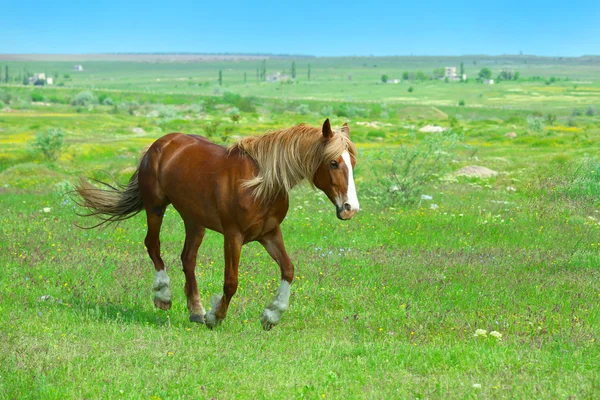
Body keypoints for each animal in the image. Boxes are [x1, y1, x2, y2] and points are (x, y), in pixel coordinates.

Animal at [72, 119, 358, 332]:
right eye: (333, 162)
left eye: (352, 163)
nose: (350, 209)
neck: (260, 185)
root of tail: (160, 143)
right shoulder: (233, 236)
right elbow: (231, 282)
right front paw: (215, 316)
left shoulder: (269, 233)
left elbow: (288, 269)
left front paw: (271, 315)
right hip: (156, 207)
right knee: (153, 245)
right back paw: (164, 296)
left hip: (194, 221)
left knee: (188, 258)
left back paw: (195, 310)